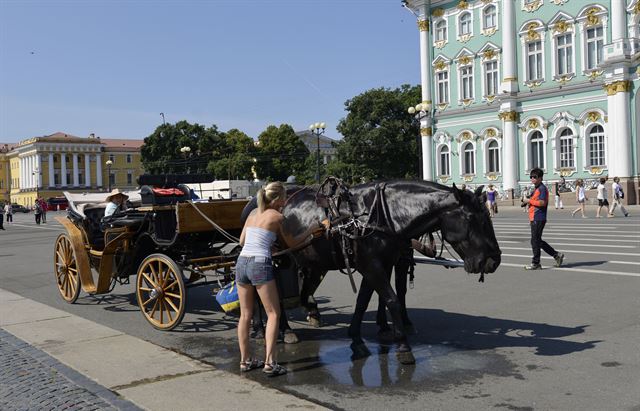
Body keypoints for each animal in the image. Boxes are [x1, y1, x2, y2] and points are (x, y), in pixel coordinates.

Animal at [280, 180, 500, 364]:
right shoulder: (372, 266)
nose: (494, 260)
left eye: (487, 217)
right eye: (472, 219)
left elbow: (364, 301)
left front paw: (357, 339)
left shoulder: (379, 265)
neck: (377, 217)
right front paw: (402, 345)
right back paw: (286, 331)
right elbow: (392, 299)